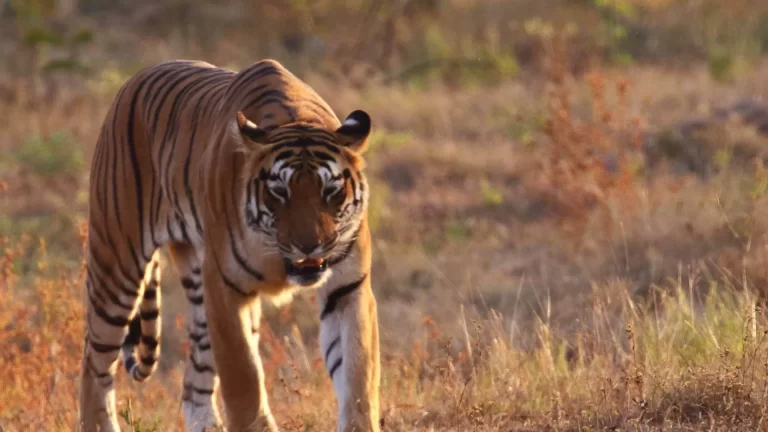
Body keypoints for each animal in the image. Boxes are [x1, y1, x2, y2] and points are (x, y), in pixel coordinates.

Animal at [78, 59, 381, 432]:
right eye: (279, 192)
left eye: (331, 191)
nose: (310, 246)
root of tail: (133, 80)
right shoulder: (226, 288)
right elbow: (244, 377)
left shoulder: (348, 288)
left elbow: (358, 374)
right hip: (117, 264)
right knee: (94, 363)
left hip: (197, 287)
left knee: (193, 383)